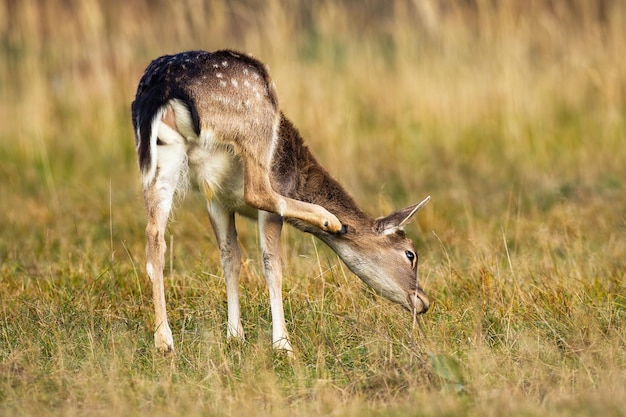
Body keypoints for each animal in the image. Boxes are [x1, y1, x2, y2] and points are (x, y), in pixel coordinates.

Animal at [129, 50, 426, 352]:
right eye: (410, 254)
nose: (423, 301)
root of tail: (164, 85)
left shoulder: (216, 200)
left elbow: (230, 259)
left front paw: (234, 335)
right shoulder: (254, 198)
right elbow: (273, 265)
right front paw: (282, 344)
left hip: (158, 157)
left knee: (154, 239)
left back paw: (163, 341)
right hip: (257, 120)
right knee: (258, 191)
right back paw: (329, 220)